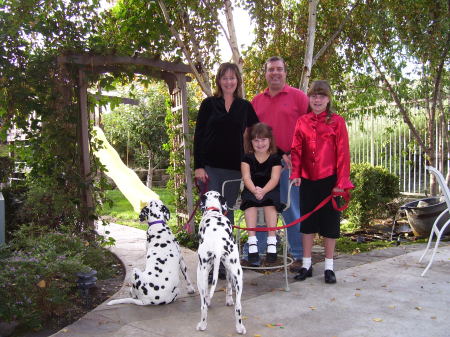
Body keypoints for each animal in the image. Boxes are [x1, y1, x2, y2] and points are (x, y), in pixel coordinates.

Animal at [197, 190, 246, 332]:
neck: (213, 211)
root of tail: (218, 243)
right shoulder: (229, 269)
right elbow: (229, 285)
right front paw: (229, 300)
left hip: (200, 272)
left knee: (203, 304)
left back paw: (202, 324)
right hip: (238, 273)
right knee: (238, 306)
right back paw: (239, 327)